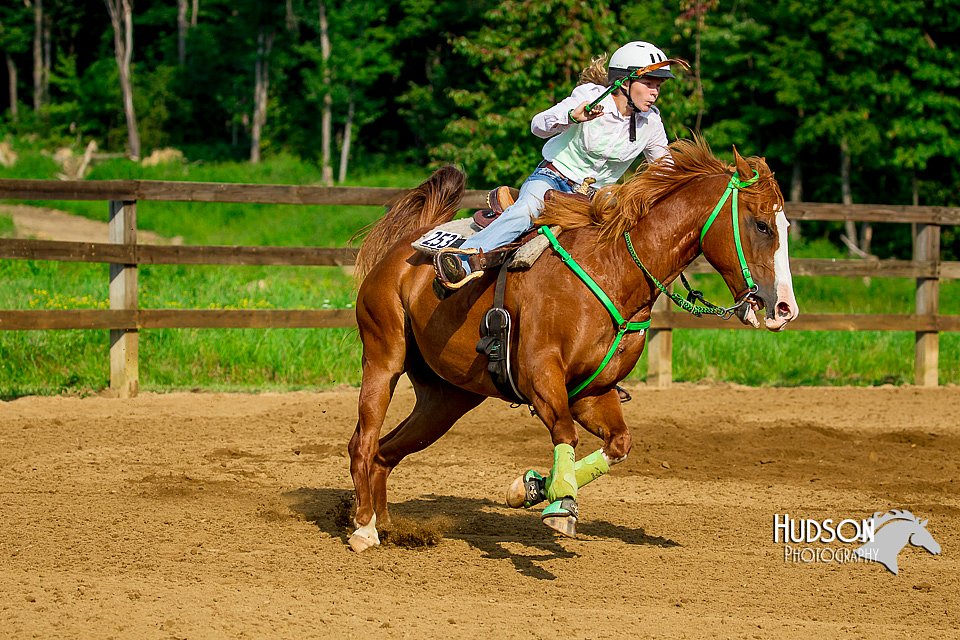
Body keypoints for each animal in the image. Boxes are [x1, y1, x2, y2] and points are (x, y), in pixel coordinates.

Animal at [344, 138, 796, 552]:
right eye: (762, 225)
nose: (784, 309)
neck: (614, 267)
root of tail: (403, 248)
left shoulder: (593, 392)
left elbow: (618, 444)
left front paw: (530, 487)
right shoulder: (540, 375)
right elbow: (565, 433)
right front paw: (559, 502)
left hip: (447, 398)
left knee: (386, 452)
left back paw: (386, 524)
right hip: (383, 357)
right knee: (363, 442)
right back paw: (364, 529)